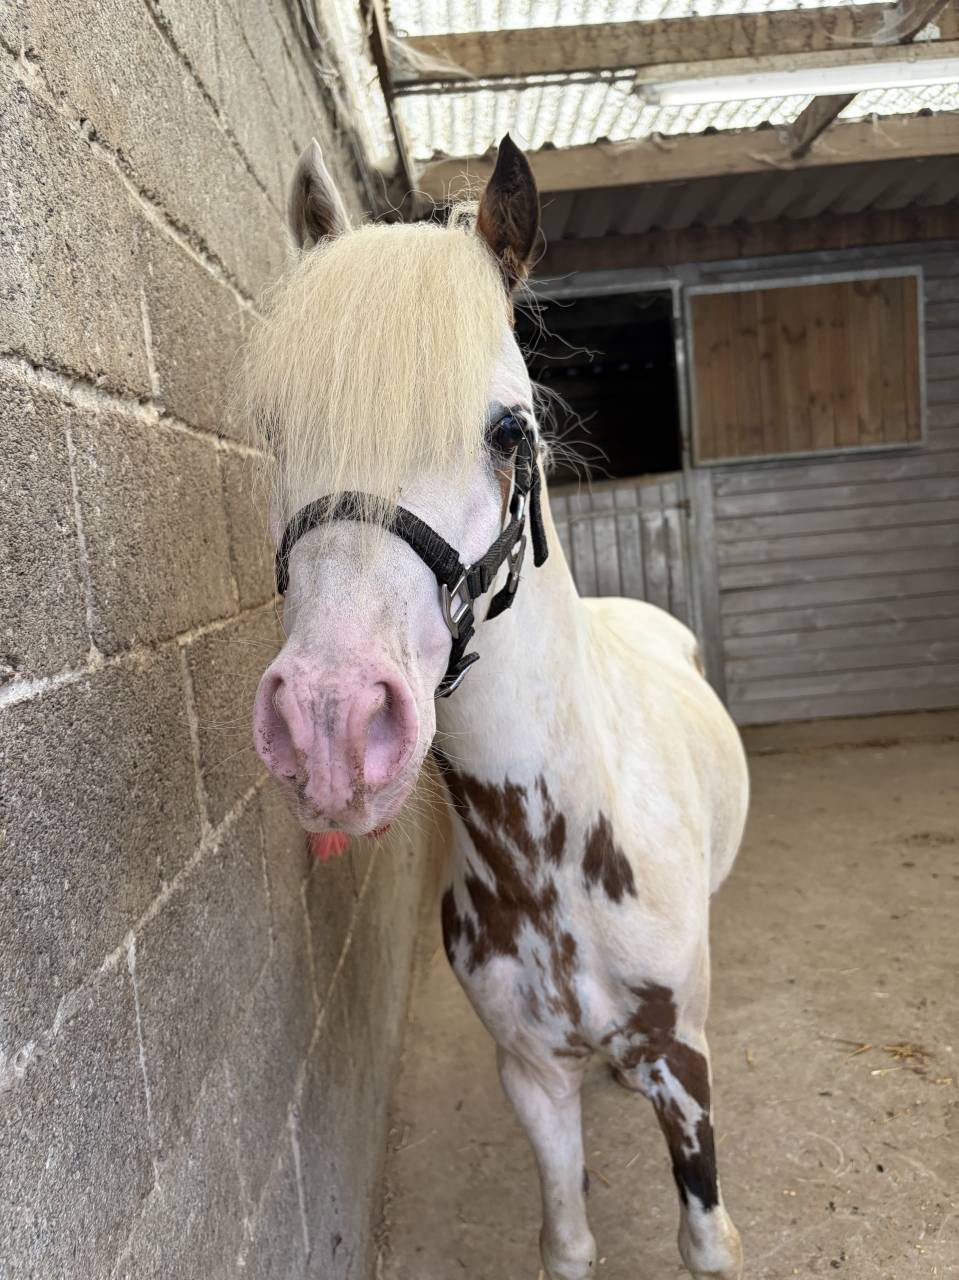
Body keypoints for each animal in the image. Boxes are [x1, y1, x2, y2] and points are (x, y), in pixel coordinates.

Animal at [244, 135, 748, 1280]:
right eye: (277, 428)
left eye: (509, 429)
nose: (330, 725)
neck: (552, 854)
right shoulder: (530, 1075)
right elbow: (565, 1239)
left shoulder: (683, 1065)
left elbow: (704, 1235)